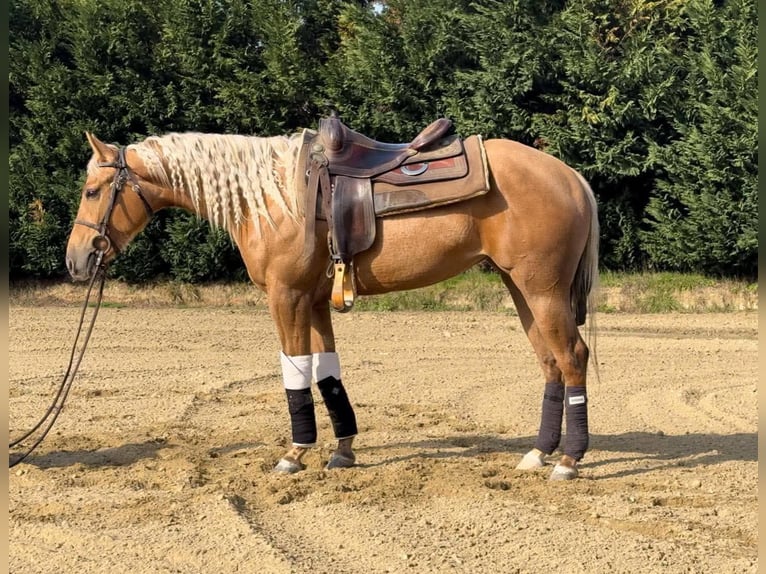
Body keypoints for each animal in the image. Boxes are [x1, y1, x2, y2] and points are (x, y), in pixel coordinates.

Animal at [65, 123, 599, 481]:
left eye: (92, 191)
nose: (76, 260)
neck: (274, 198)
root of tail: (570, 176)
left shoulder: (287, 298)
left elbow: (295, 371)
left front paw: (295, 452)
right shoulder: (316, 301)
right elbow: (327, 372)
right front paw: (343, 451)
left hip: (542, 291)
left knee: (572, 358)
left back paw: (569, 460)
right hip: (522, 290)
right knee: (550, 363)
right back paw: (538, 453)